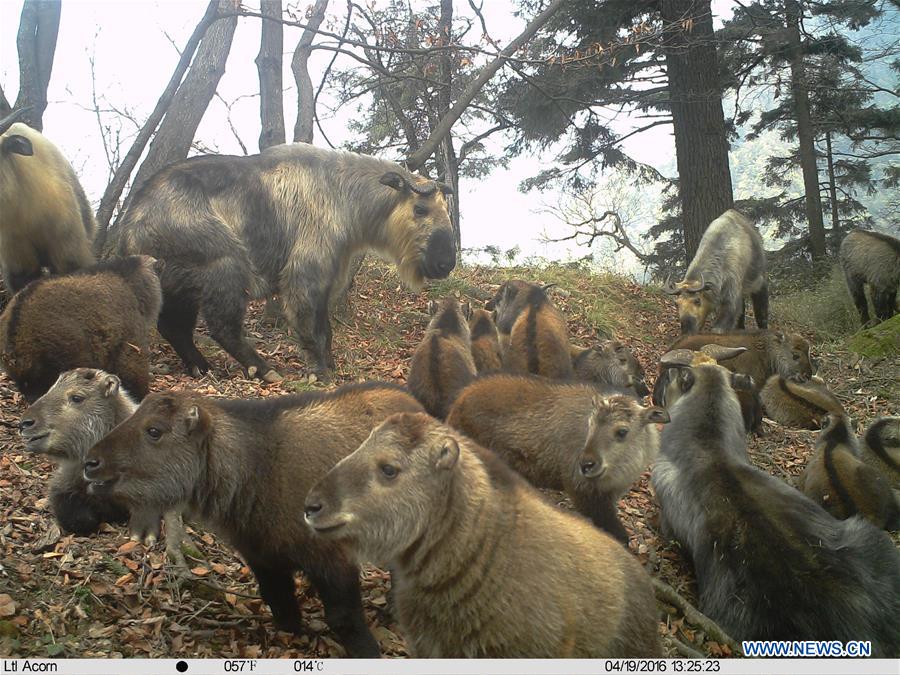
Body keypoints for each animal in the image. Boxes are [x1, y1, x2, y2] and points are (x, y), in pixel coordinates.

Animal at [82, 382, 424, 656]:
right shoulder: (263, 557)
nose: (90, 462)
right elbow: (281, 606)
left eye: (154, 430)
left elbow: (343, 618)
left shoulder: (332, 560)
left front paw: (369, 652)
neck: (258, 466)